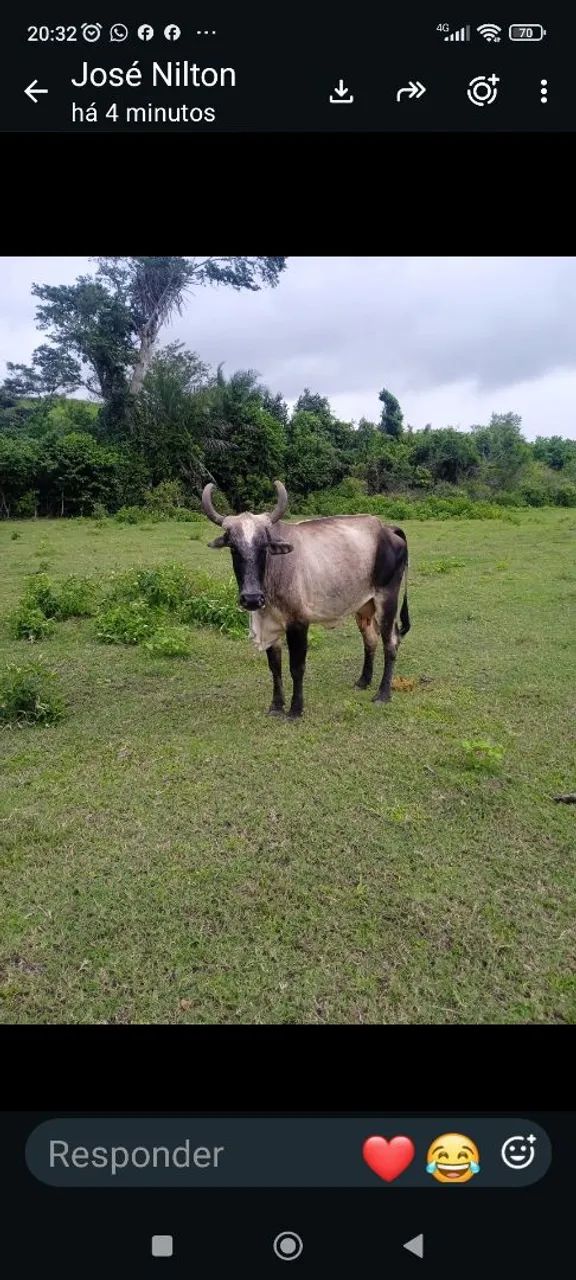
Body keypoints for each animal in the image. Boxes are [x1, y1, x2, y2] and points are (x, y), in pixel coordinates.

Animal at [201, 480, 410, 718]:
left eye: (264, 546)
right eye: (234, 548)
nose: (252, 598)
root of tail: (387, 529)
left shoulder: (298, 622)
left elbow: (296, 667)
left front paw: (295, 709)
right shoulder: (271, 623)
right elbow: (275, 666)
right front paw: (276, 706)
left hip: (387, 599)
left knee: (390, 642)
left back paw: (383, 694)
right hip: (364, 606)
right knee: (370, 639)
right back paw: (363, 681)